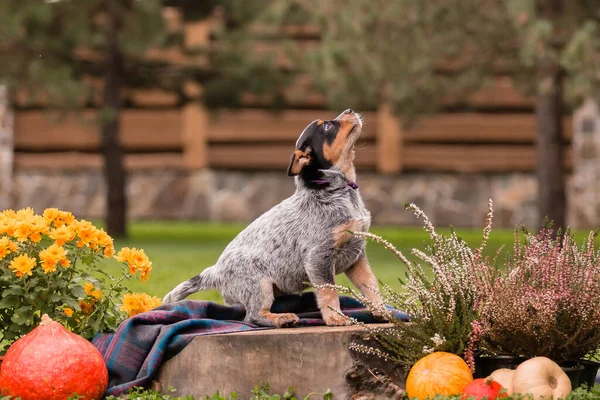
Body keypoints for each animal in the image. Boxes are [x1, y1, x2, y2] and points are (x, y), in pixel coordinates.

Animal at [163, 108, 384, 326]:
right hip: (260, 285)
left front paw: (381, 311)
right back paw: (281, 318)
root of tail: (216, 271)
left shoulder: (357, 254)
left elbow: (370, 284)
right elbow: (329, 291)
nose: (350, 110)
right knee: (252, 316)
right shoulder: (318, 257)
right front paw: (336, 317)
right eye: (328, 126)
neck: (338, 190)